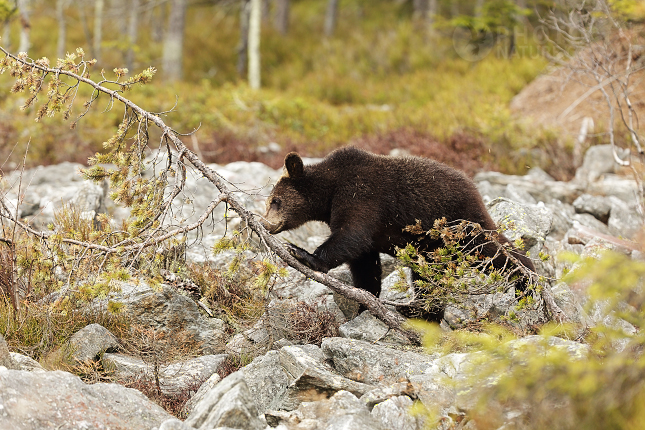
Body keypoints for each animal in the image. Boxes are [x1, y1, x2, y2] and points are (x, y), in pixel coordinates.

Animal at [262, 146, 532, 308]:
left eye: (275, 200)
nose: (266, 223)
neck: (330, 191)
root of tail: (475, 189)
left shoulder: (362, 194)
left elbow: (352, 236)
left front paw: (304, 254)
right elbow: (364, 261)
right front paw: (366, 296)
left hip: (458, 226)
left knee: (490, 251)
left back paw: (526, 281)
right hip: (433, 248)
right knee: (428, 279)